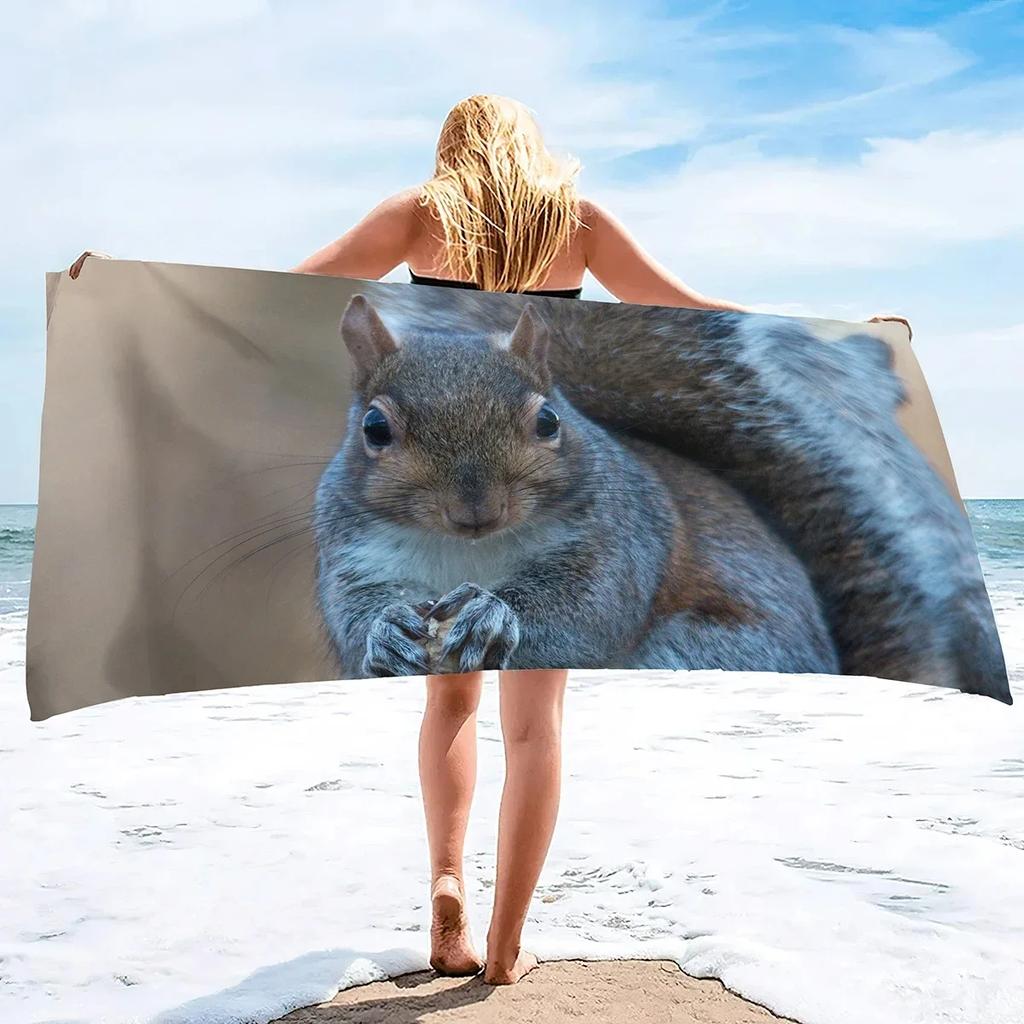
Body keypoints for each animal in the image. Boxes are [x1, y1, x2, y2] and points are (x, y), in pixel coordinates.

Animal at [313, 295, 838, 679]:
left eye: (548, 421)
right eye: (374, 428)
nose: (477, 510)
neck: (472, 548)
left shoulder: (616, 538)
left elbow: (587, 610)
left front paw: (492, 615)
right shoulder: (356, 554)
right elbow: (353, 614)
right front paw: (385, 632)